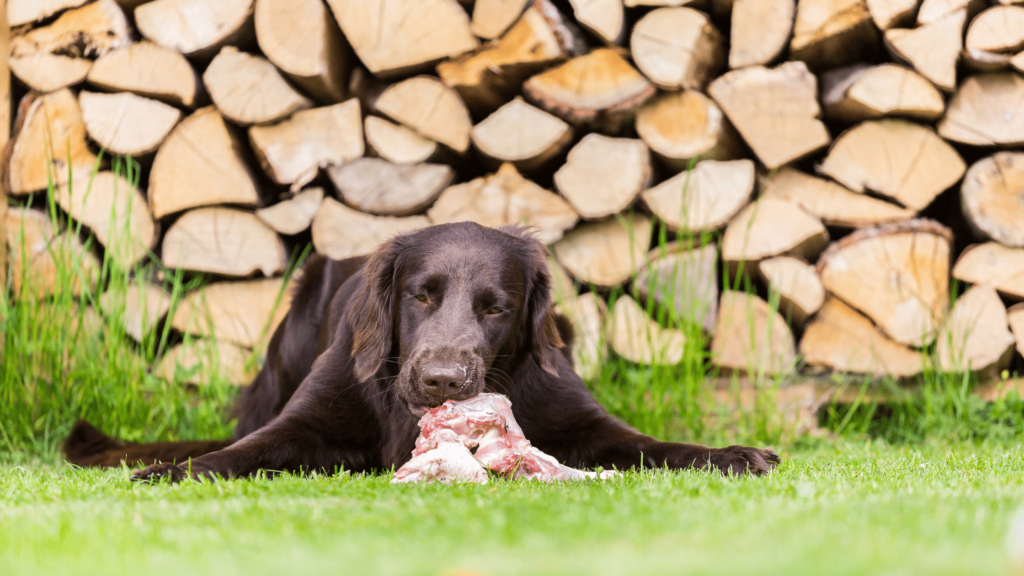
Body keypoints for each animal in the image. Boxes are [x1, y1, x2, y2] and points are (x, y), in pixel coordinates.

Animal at [64, 222, 778, 477]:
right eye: (420, 295)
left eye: (496, 307)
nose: (442, 381)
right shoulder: (307, 422)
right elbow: (241, 454)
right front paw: (169, 471)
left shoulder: (580, 420)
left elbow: (655, 446)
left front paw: (732, 454)